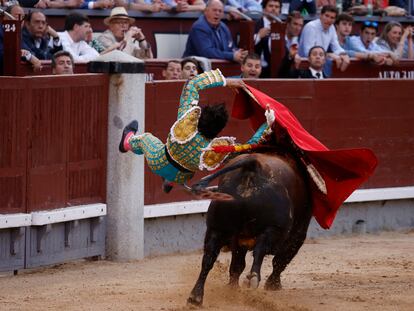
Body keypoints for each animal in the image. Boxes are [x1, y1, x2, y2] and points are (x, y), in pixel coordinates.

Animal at [187, 152, 310, 306]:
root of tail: (252, 164)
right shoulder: (298, 235)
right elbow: (281, 260)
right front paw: (272, 284)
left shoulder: (238, 239)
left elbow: (237, 264)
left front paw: (232, 288)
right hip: (274, 229)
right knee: (261, 250)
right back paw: (253, 279)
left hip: (216, 228)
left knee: (208, 258)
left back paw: (195, 297)